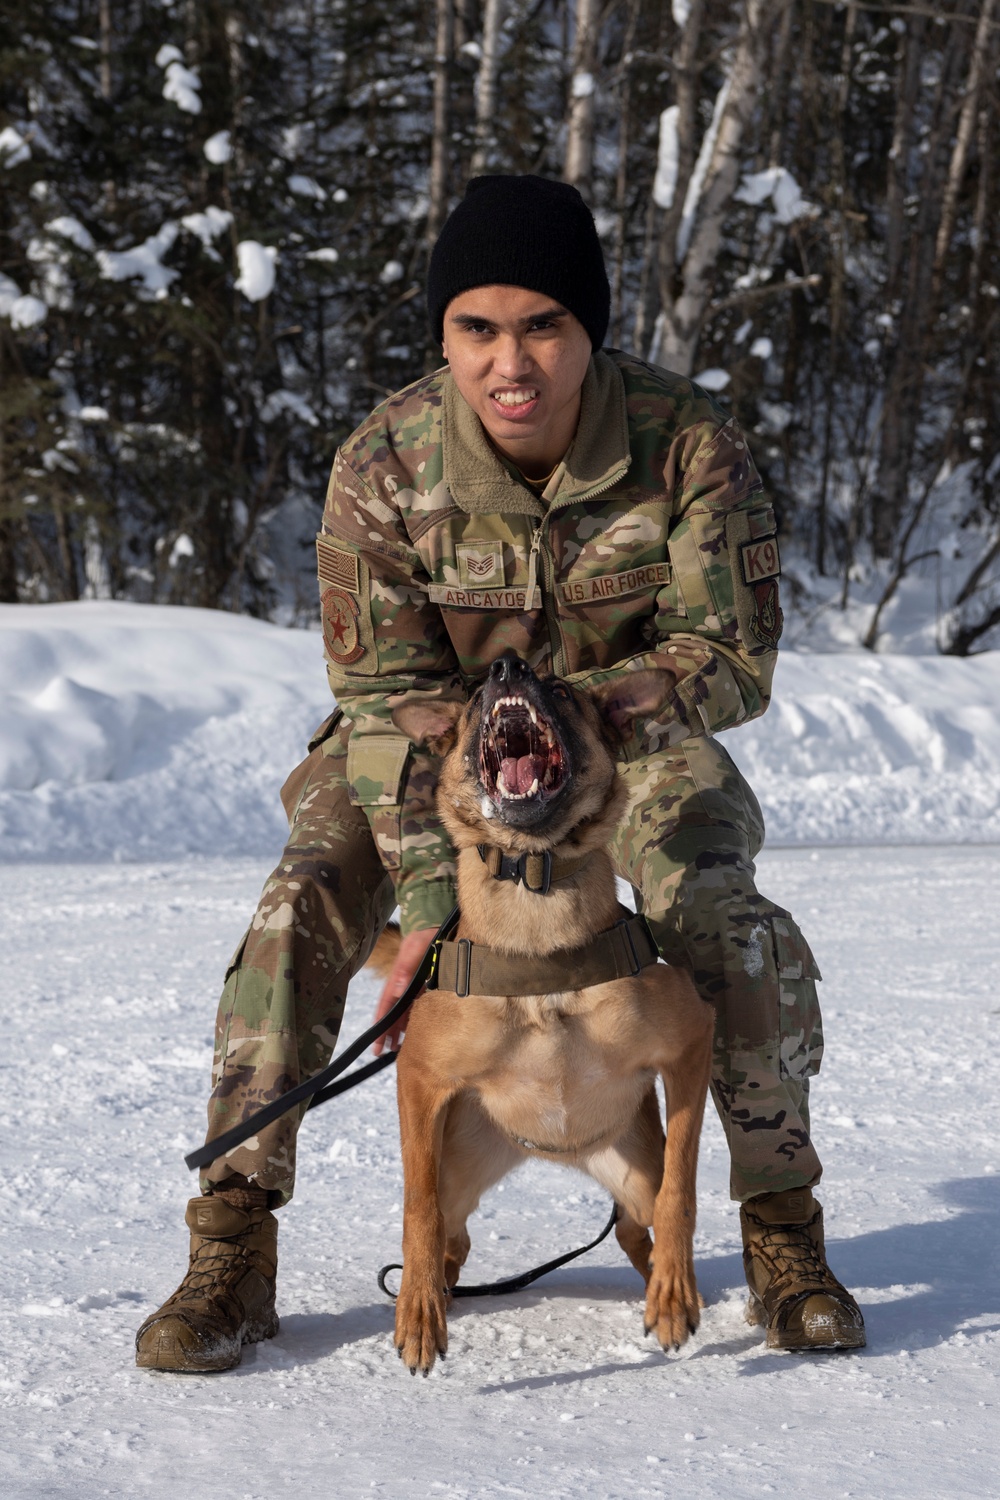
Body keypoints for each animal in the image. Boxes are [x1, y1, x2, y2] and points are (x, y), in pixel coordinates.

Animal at [386, 651, 716, 1374]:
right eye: (474, 694)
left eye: (562, 690)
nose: (507, 666)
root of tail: (562, 1154)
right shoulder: (420, 1076)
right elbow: (417, 1209)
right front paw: (417, 1312)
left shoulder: (689, 1046)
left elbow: (682, 1188)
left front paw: (674, 1294)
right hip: (460, 1163)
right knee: (452, 1233)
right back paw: (438, 1293)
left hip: (632, 1167)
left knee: (637, 1224)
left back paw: (662, 1283)